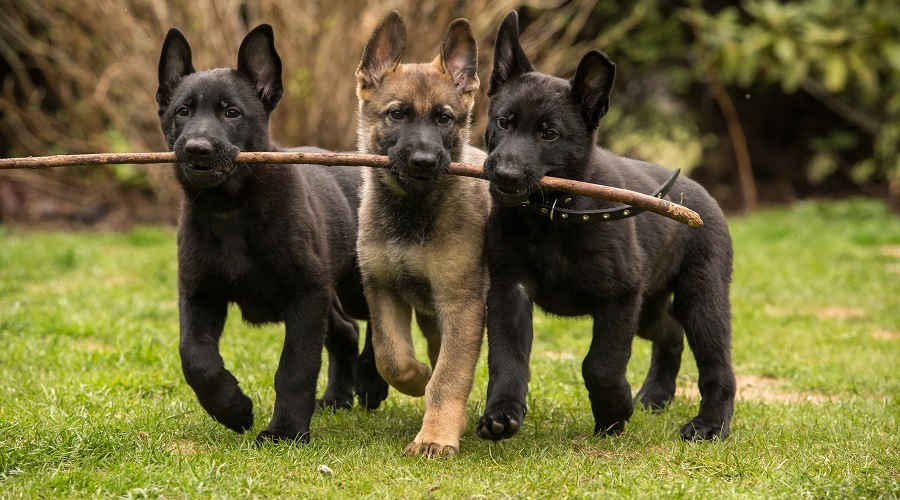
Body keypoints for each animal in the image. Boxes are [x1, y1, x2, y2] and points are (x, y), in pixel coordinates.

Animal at [156, 25, 386, 444]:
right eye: (183, 111)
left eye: (231, 112)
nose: (197, 149)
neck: (230, 210)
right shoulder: (199, 294)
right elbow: (195, 357)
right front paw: (232, 408)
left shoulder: (306, 296)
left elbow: (295, 369)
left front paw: (286, 432)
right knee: (346, 331)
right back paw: (336, 397)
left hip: (353, 284)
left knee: (384, 320)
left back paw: (372, 382)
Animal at [354, 11, 492, 458]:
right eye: (396, 114)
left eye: (443, 118)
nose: (423, 161)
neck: (411, 213)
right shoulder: (382, 288)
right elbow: (391, 356)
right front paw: (416, 378)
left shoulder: (462, 305)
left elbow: (450, 376)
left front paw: (435, 436)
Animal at [474, 11, 736, 442]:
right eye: (504, 123)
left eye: (549, 134)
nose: (506, 176)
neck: (554, 215)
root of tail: (699, 194)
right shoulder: (509, 288)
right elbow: (507, 357)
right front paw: (502, 414)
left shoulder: (620, 297)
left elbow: (600, 363)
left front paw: (614, 411)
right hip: (650, 308)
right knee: (670, 333)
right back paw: (656, 394)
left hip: (700, 297)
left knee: (717, 364)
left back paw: (710, 423)